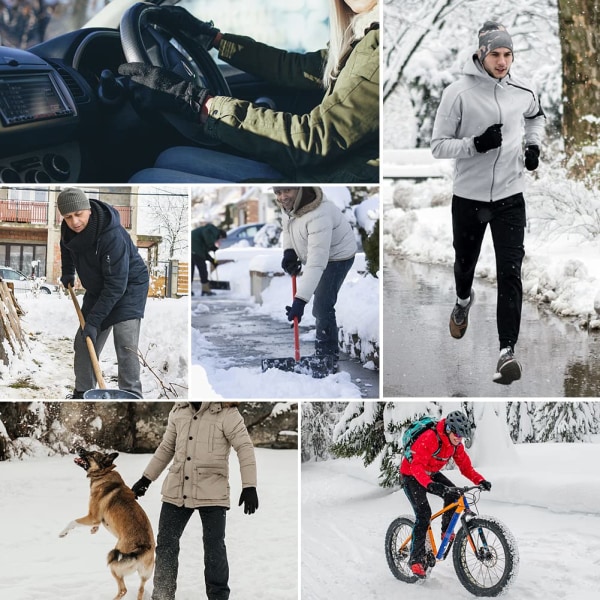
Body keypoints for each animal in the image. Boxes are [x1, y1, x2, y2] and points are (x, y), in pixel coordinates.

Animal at [59, 448, 155, 600]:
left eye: (92, 454)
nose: (79, 448)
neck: (103, 473)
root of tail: (142, 548)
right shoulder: (96, 519)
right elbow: (95, 525)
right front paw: (94, 530)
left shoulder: (92, 516)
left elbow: (73, 521)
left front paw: (63, 533)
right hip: (144, 575)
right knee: (140, 590)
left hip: (114, 565)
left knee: (123, 590)